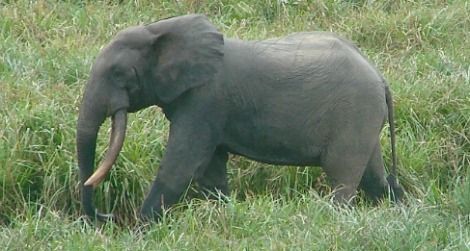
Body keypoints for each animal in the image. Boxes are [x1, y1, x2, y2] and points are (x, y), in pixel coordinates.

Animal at [77, 14, 404, 222]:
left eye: (118, 73)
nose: (106, 215)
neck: (159, 28)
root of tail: (382, 78)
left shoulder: (204, 100)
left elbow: (181, 165)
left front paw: (141, 229)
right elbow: (210, 169)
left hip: (355, 113)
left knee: (342, 177)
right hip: (364, 118)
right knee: (374, 176)